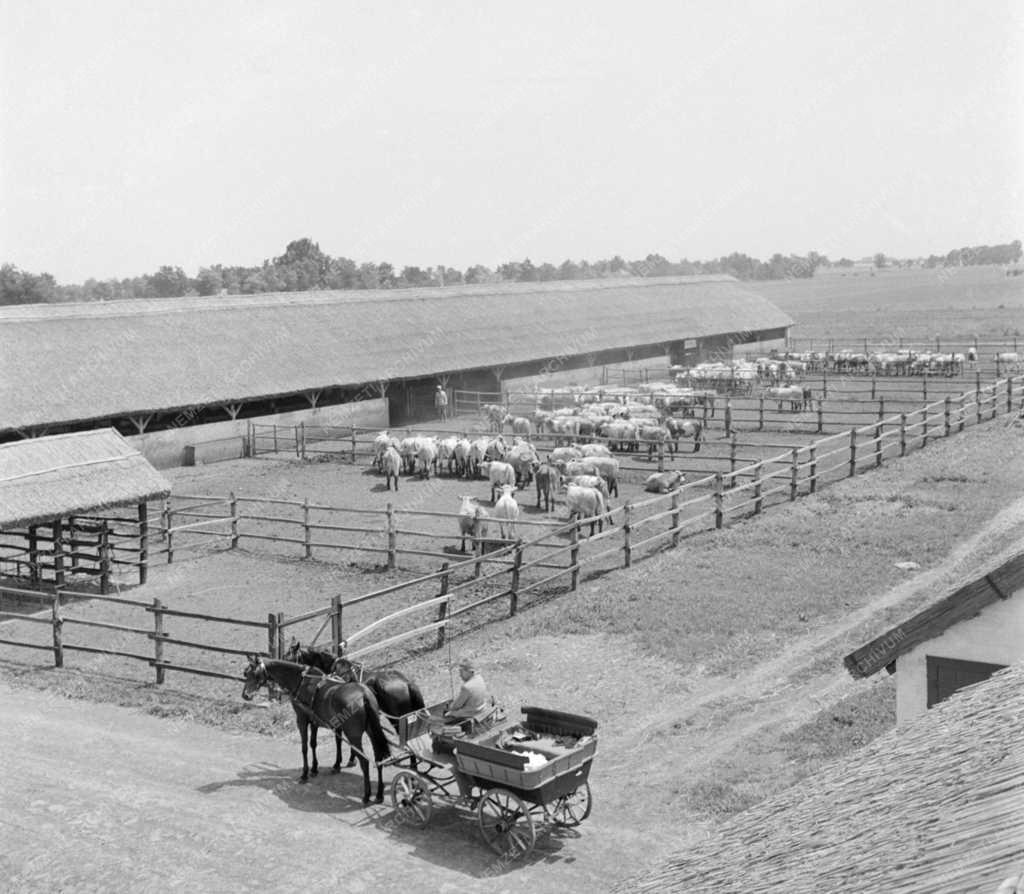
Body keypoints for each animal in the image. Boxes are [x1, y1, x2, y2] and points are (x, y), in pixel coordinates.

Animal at [239, 655, 391, 802]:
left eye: (254, 674)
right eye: (246, 673)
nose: (245, 695)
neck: (301, 681)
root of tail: (364, 694)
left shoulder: (301, 719)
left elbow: (305, 747)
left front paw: (305, 774)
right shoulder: (314, 721)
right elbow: (313, 744)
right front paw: (314, 769)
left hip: (353, 735)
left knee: (364, 761)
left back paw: (367, 795)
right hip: (371, 731)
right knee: (379, 757)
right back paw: (379, 794)